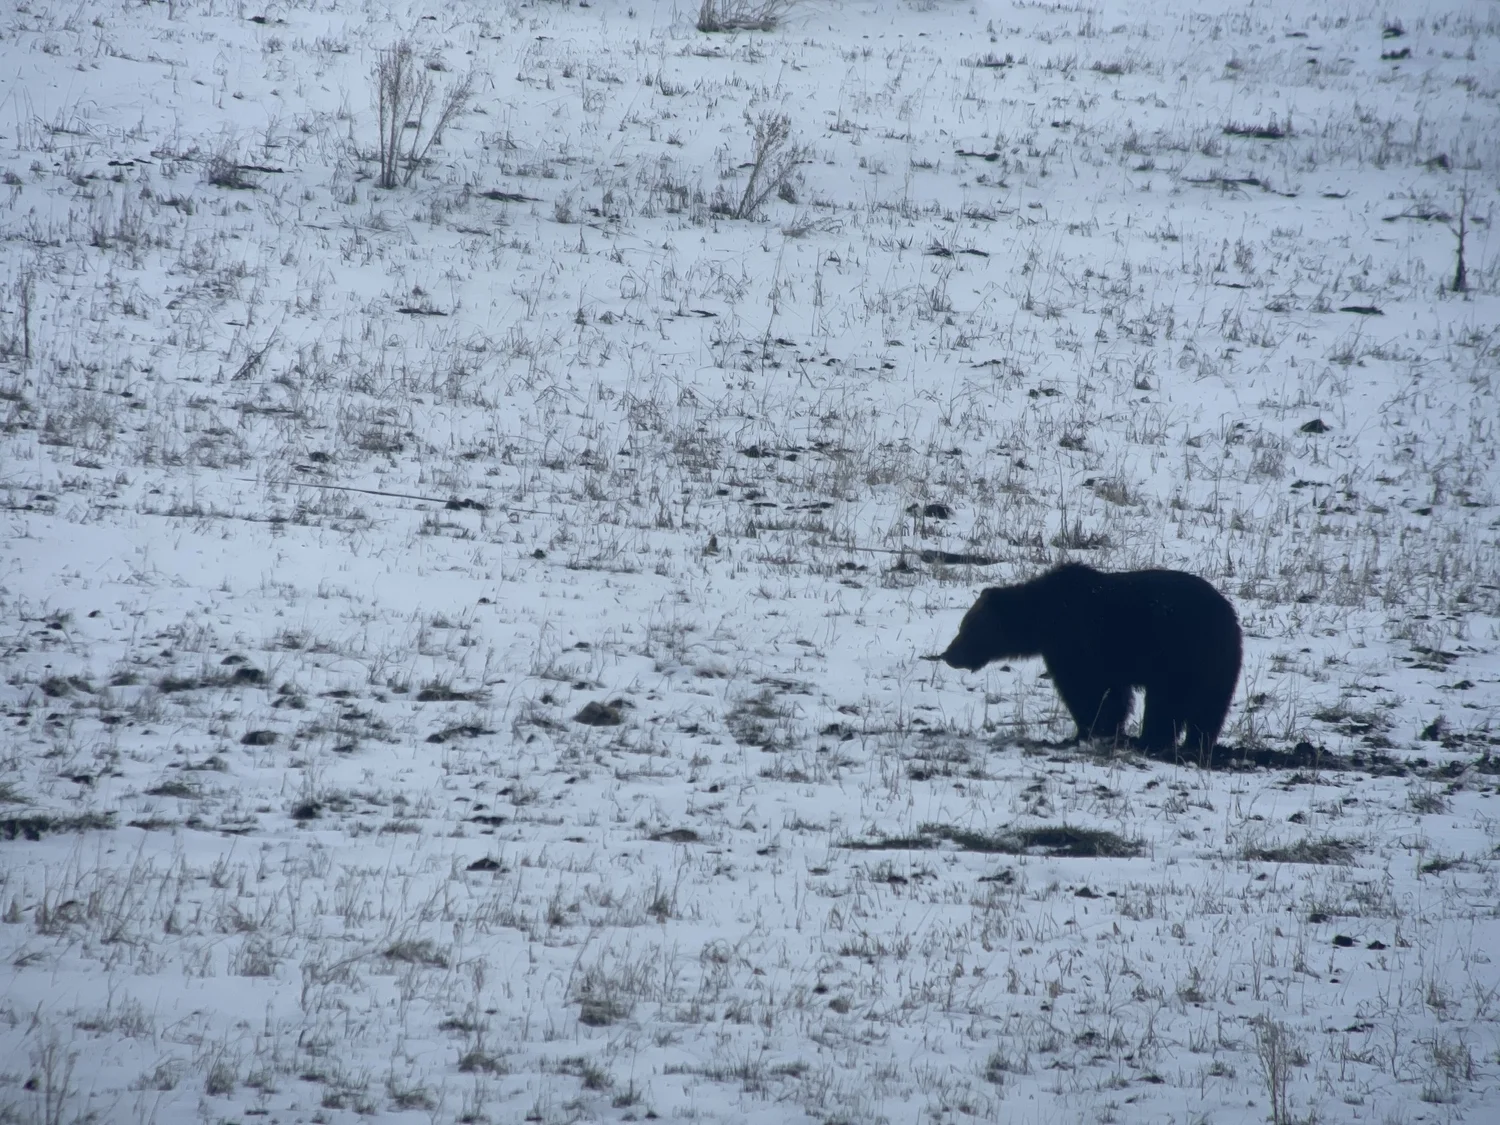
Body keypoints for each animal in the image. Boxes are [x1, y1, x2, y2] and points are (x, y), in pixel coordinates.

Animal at [937, 563, 1241, 755]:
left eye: (967, 628)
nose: (949, 654)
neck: (1044, 620)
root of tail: (1229, 614)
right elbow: (1113, 694)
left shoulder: (1078, 643)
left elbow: (1087, 690)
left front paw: (1088, 731)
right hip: (1215, 664)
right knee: (1209, 707)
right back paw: (1196, 743)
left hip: (1181, 654)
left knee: (1168, 703)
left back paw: (1150, 740)